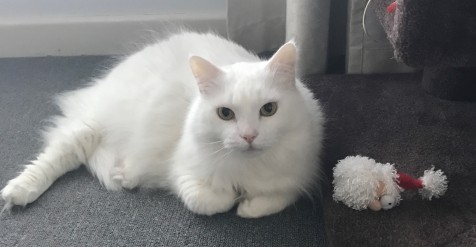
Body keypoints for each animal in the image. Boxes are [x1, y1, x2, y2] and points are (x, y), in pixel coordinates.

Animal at [0, 31, 324, 218]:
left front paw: (246, 205)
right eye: (225, 114)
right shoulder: (182, 173)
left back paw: (123, 175)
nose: (249, 136)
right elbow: (211, 202)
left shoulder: (298, 179)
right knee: (56, 157)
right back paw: (17, 194)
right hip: (92, 126)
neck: (247, 167)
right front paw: (232, 198)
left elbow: (271, 202)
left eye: (269, 110)